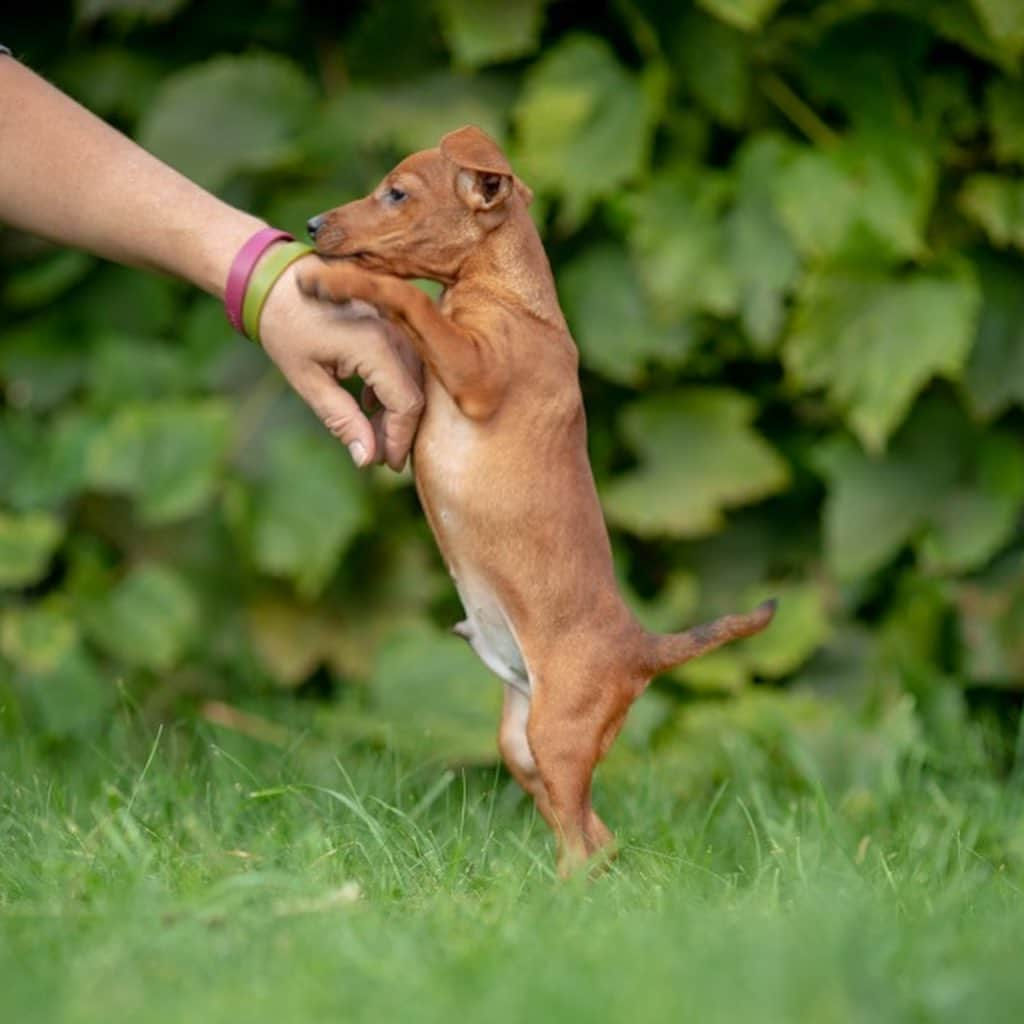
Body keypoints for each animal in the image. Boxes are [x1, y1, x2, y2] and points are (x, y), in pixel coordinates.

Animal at [299, 125, 770, 872]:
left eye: (396, 193)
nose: (314, 225)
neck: (507, 296)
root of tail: (641, 648)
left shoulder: (475, 370)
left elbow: (412, 303)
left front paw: (345, 282)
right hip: (522, 743)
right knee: (595, 835)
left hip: (558, 732)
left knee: (581, 838)